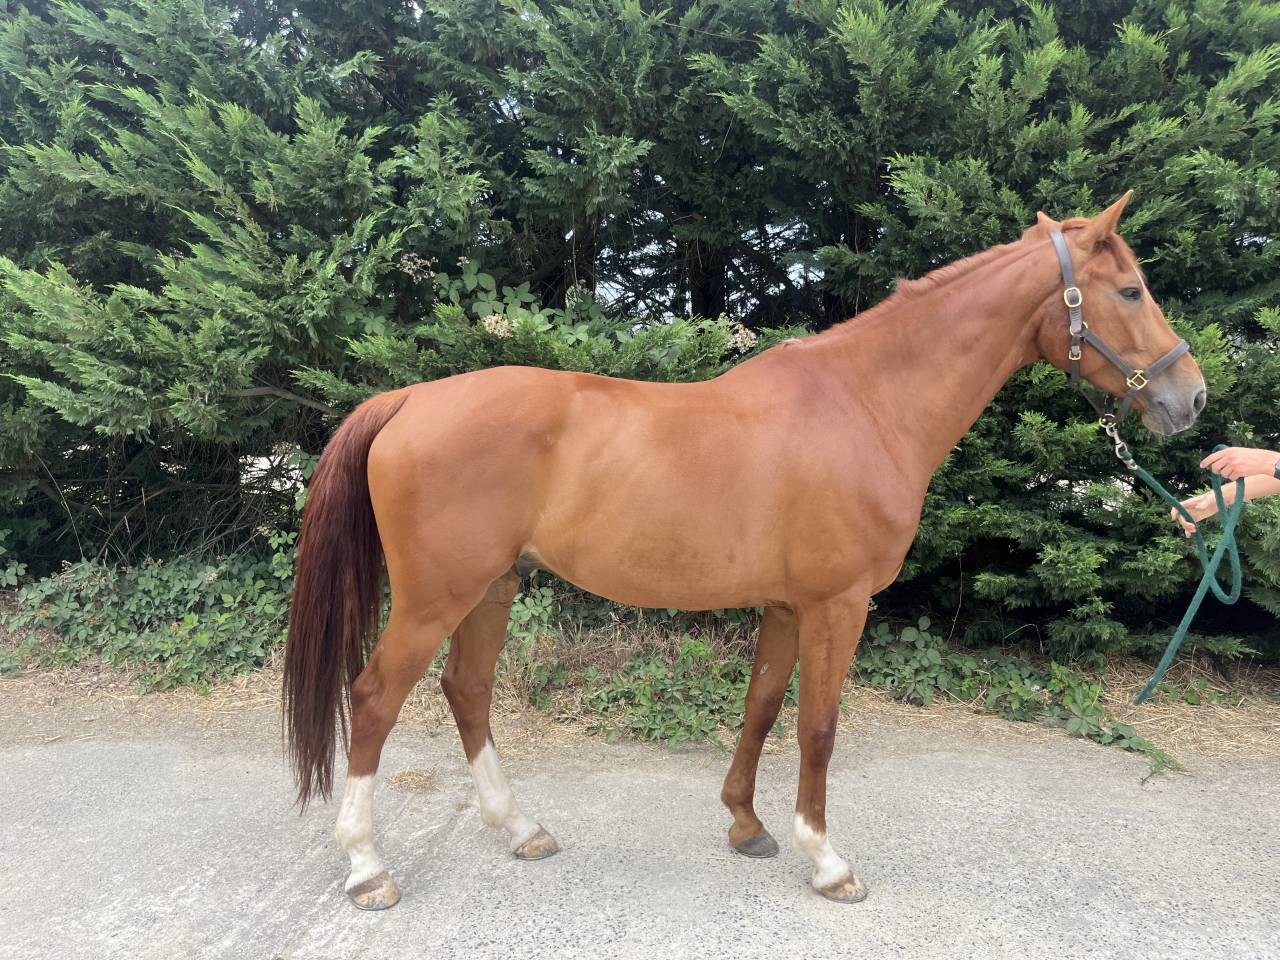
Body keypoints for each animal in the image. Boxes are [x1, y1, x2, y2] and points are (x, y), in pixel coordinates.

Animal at [283, 192, 1206, 909]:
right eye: (1130, 288)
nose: (1189, 398)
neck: (866, 403)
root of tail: (409, 400)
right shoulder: (838, 604)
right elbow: (818, 727)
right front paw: (828, 862)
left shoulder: (787, 604)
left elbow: (762, 708)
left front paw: (747, 824)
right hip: (438, 595)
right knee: (374, 699)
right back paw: (367, 868)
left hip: (494, 588)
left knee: (466, 690)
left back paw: (521, 829)